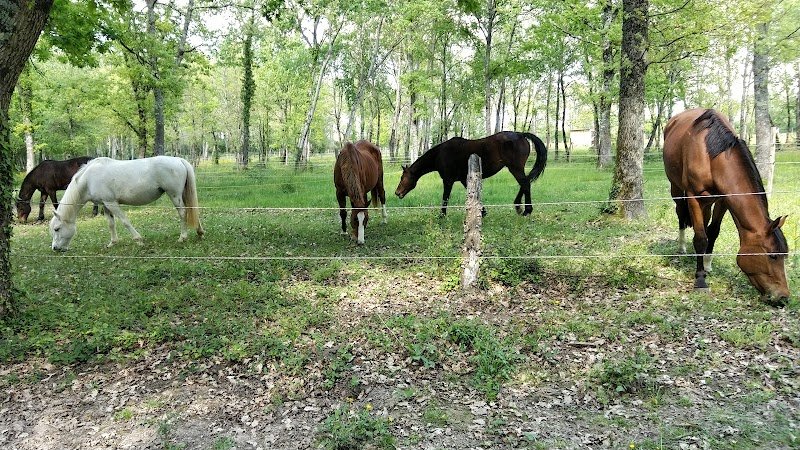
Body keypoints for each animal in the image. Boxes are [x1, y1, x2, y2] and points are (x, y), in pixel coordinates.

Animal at [50, 156, 205, 251]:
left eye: (57, 229)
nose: (55, 248)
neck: (88, 179)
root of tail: (179, 160)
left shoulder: (112, 203)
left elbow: (125, 221)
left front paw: (139, 240)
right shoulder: (105, 205)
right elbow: (111, 224)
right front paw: (112, 243)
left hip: (175, 195)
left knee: (183, 213)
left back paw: (182, 238)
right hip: (182, 194)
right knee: (192, 209)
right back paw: (200, 232)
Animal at [394, 131, 547, 216]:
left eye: (402, 177)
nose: (397, 193)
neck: (440, 154)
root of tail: (520, 134)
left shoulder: (448, 180)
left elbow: (445, 198)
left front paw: (442, 215)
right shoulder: (463, 179)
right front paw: (483, 212)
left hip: (515, 168)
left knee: (526, 183)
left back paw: (526, 210)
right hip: (516, 168)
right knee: (525, 183)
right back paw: (519, 206)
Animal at [663, 108, 790, 305]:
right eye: (773, 255)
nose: (783, 296)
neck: (711, 154)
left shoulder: (723, 200)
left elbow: (712, 232)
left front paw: (706, 265)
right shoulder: (693, 197)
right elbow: (700, 238)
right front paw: (700, 280)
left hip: (708, 202)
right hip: (676, 189)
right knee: (681, 214)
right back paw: (682, 247)